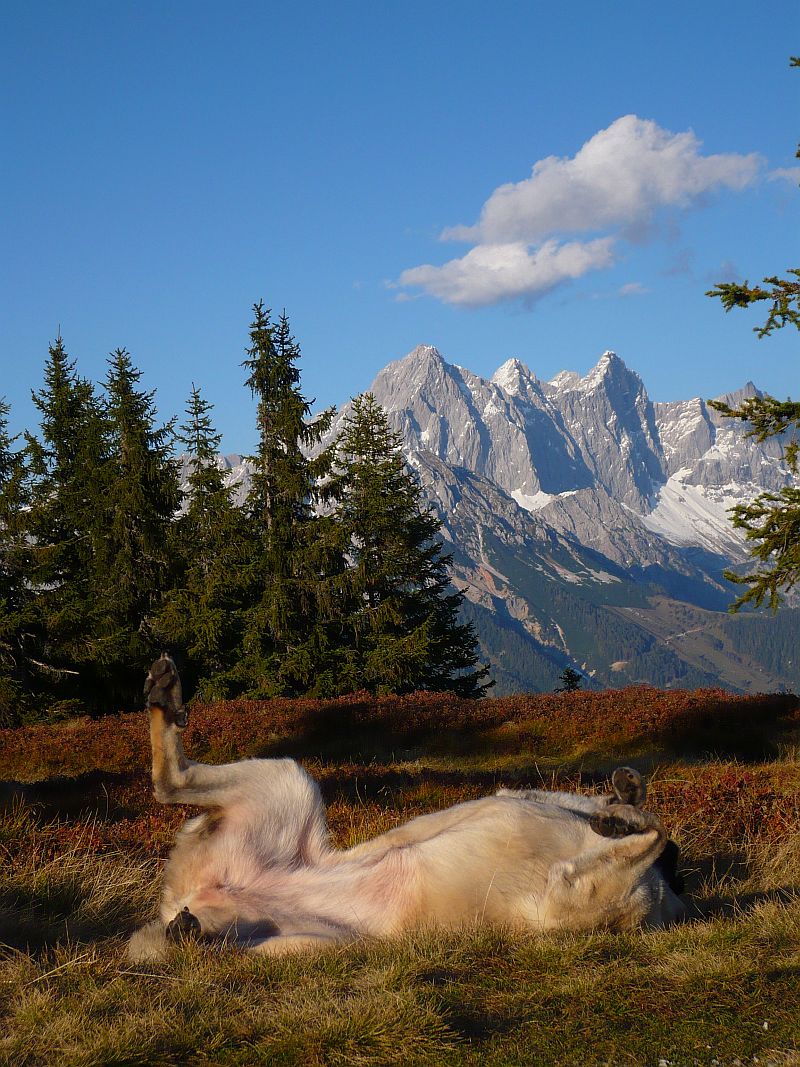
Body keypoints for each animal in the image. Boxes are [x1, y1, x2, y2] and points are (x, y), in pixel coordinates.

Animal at [128, 648, 686, 960]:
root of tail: (184, 897)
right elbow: (651, 831)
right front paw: (624, 803)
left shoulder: (567, 898)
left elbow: (652, 833)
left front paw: (623, 809)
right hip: (288, 783)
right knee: (170, 781)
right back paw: (165, 694)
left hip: (312, 938)